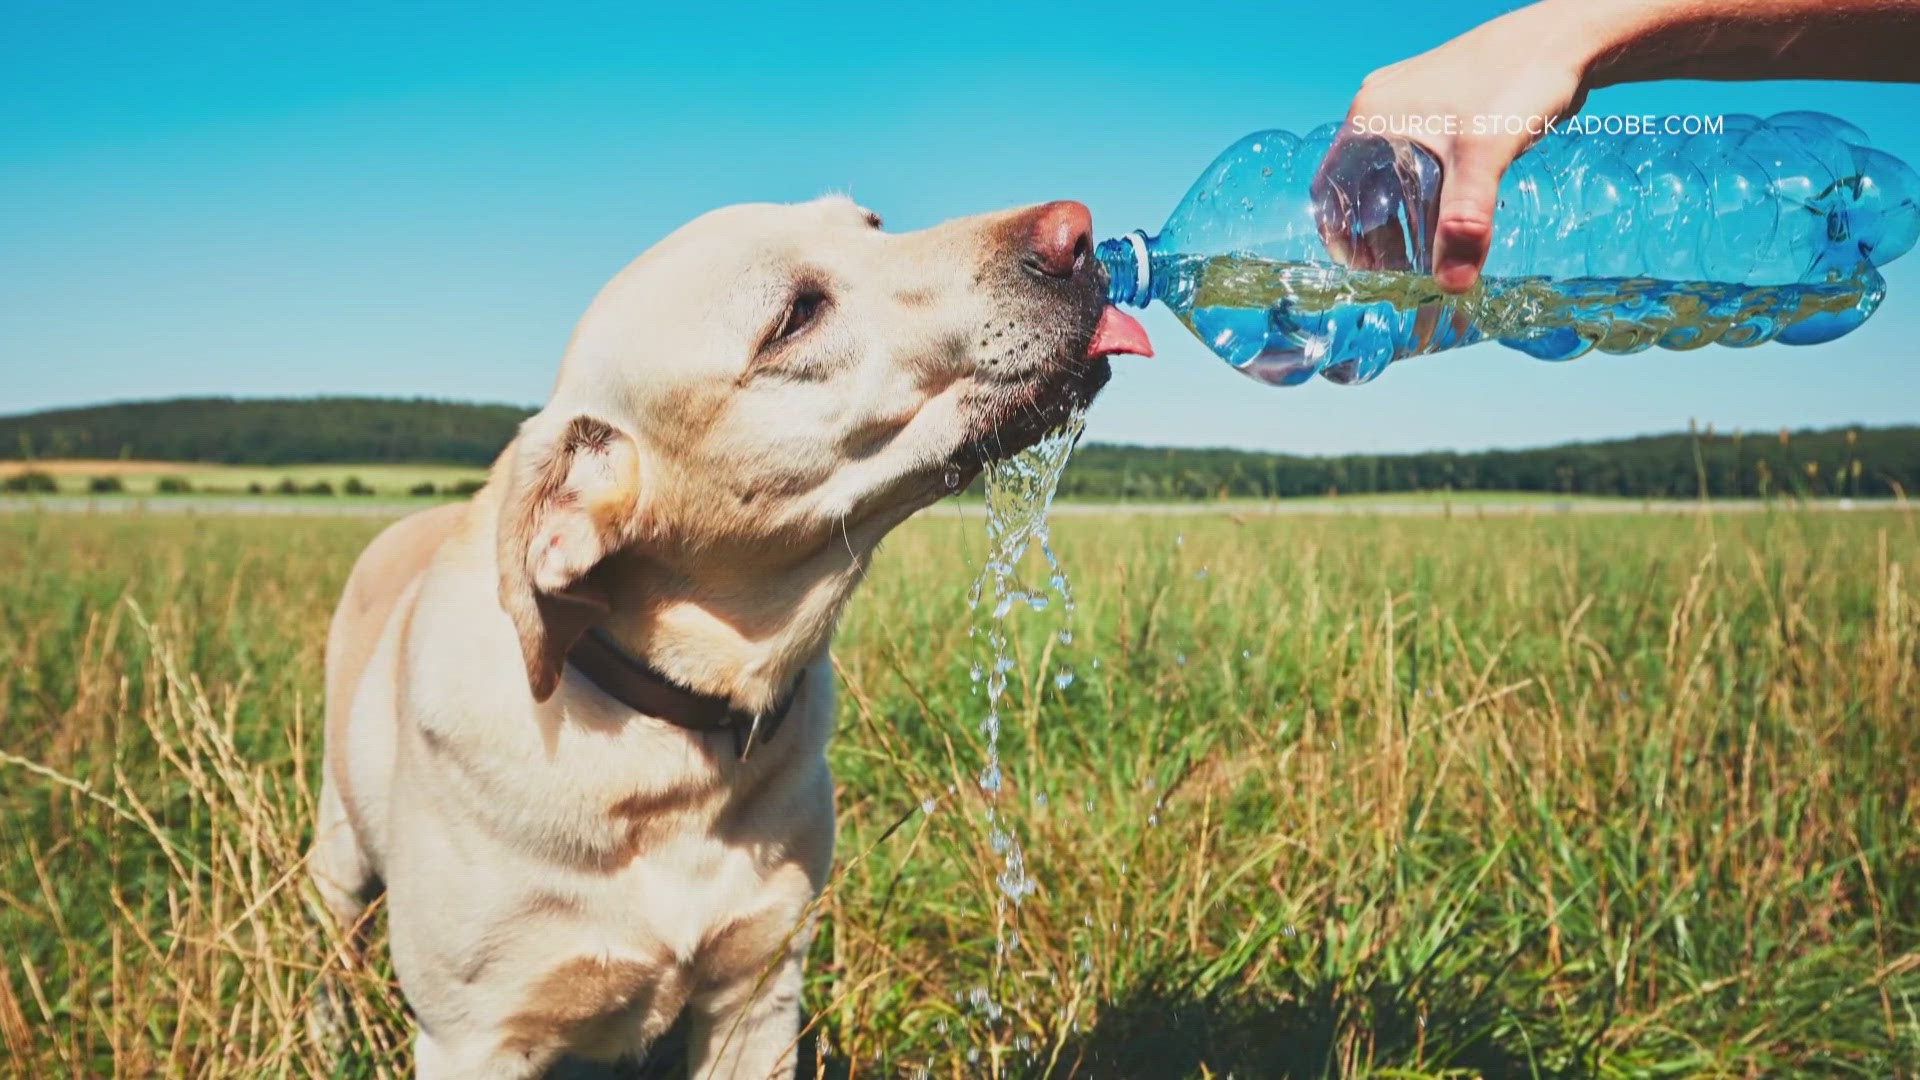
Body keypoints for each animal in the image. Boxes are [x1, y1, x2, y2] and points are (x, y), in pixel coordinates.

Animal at [309, 195, 1144, 1076]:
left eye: (873, 224)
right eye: (795, 316)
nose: (1078, 231)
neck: (670, 740)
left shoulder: (760, 991)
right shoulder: (473, 1038)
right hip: (337, 855)